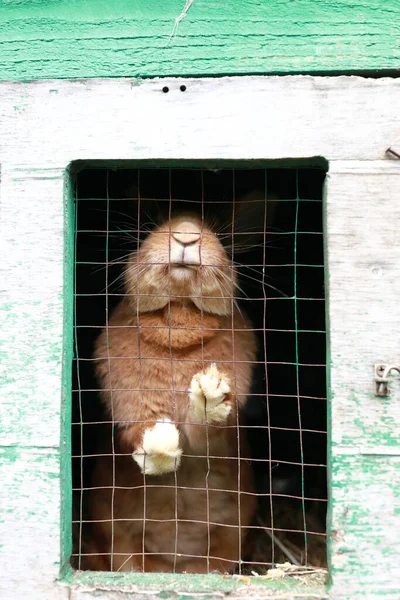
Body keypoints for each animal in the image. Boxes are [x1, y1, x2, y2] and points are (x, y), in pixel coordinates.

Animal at [86, 213, 258, 576]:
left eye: (216, 232)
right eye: (151, 228)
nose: (186, 235)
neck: (179, 312)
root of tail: (175, 563)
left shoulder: (222, 437)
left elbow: (210, 432)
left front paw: (210, 391)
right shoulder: (127, 404)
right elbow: (137, 433)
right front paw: (161, 440)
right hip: (116, 539)